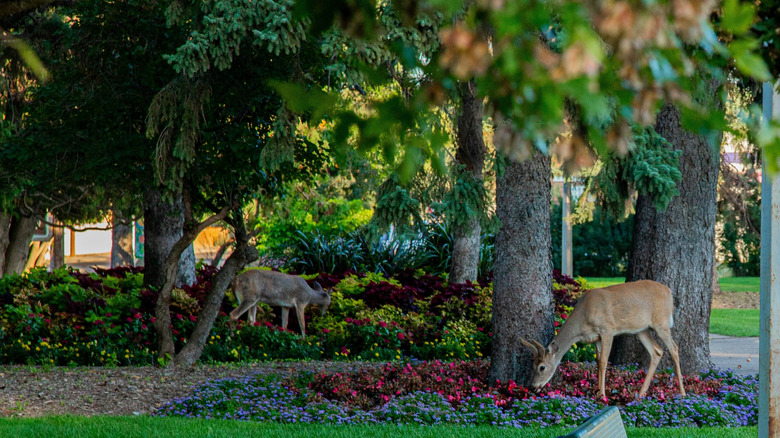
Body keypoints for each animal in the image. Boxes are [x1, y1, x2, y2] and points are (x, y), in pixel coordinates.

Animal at [520, 280, 684, 400]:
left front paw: (603, 395)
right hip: (641, 329)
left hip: (661, 322)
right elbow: (598, 362)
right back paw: (641, 393)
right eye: (532, 364)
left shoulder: (607, 330)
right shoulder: (596, 338)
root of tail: (669, 292)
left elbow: (605, 361)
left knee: (674, 348)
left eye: (542, 367)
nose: (533, 386)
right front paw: (598, 392)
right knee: (657, 351)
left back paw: (682, 392)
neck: (583, 320)